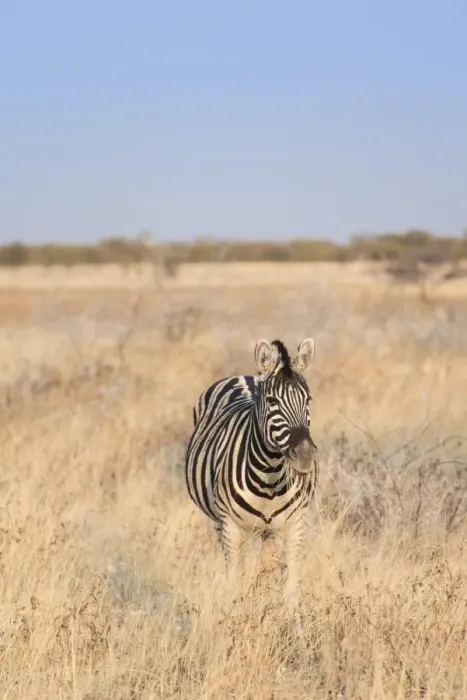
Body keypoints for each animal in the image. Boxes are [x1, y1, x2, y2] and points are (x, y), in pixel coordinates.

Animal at [185, 337, 318, 636]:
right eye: (272, 401)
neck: (270, 474)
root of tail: (245, 377)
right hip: (222, 523)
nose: (305, 455)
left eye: (308, 400)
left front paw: (298, 638)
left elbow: (291, 589)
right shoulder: (231, 527)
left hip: (262, 531)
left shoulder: (295, 526)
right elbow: (231, 584)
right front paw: (227, 629)